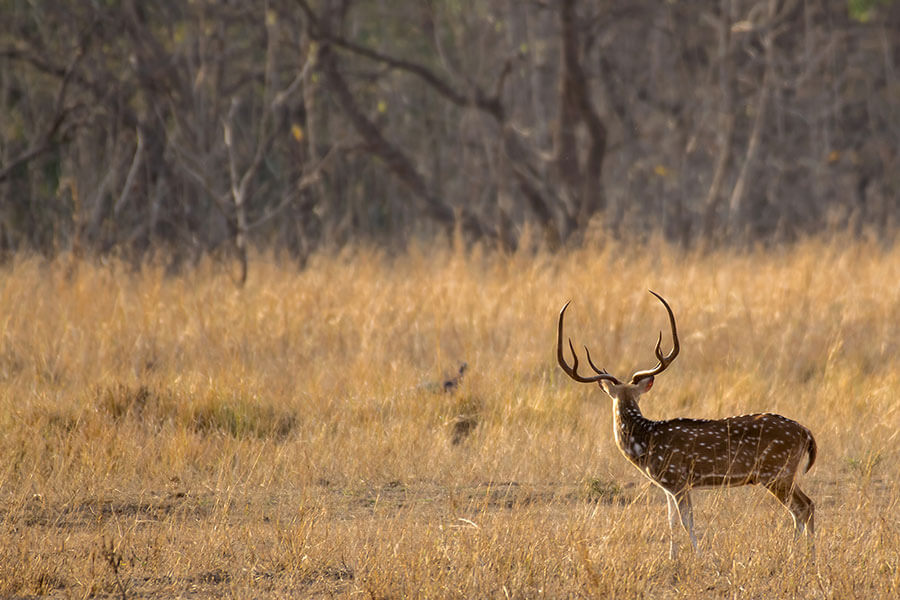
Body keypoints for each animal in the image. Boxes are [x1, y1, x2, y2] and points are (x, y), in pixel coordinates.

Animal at [557, 291, 816, 559]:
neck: (646, 444)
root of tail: (806, 433)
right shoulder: (669, 487)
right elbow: (671, 520)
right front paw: (672, 557)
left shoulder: (677, 478)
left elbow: (686, 521)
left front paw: (699, 556)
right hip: (782, 472)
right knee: (805, 506)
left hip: (776, 470)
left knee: (803, 507)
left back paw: (800, 555)